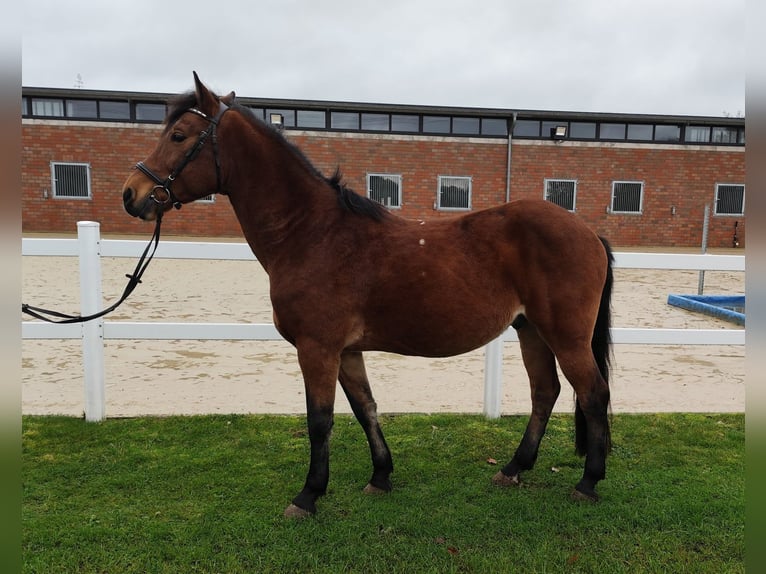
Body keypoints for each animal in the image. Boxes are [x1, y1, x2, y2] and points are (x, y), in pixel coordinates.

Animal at [124, 74, 616, 520]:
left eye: (179, 135)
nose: (133, 194)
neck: (311, 233)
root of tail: (589, 232)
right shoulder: (346, 351)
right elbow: (365, 409)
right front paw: (380, 476)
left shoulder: (317, 348)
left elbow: (319, 420)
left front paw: (308, 495)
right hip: (530, 329)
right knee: (545, 392)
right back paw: (513, 469)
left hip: (565, 336)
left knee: (592, 393)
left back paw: (588, 482)